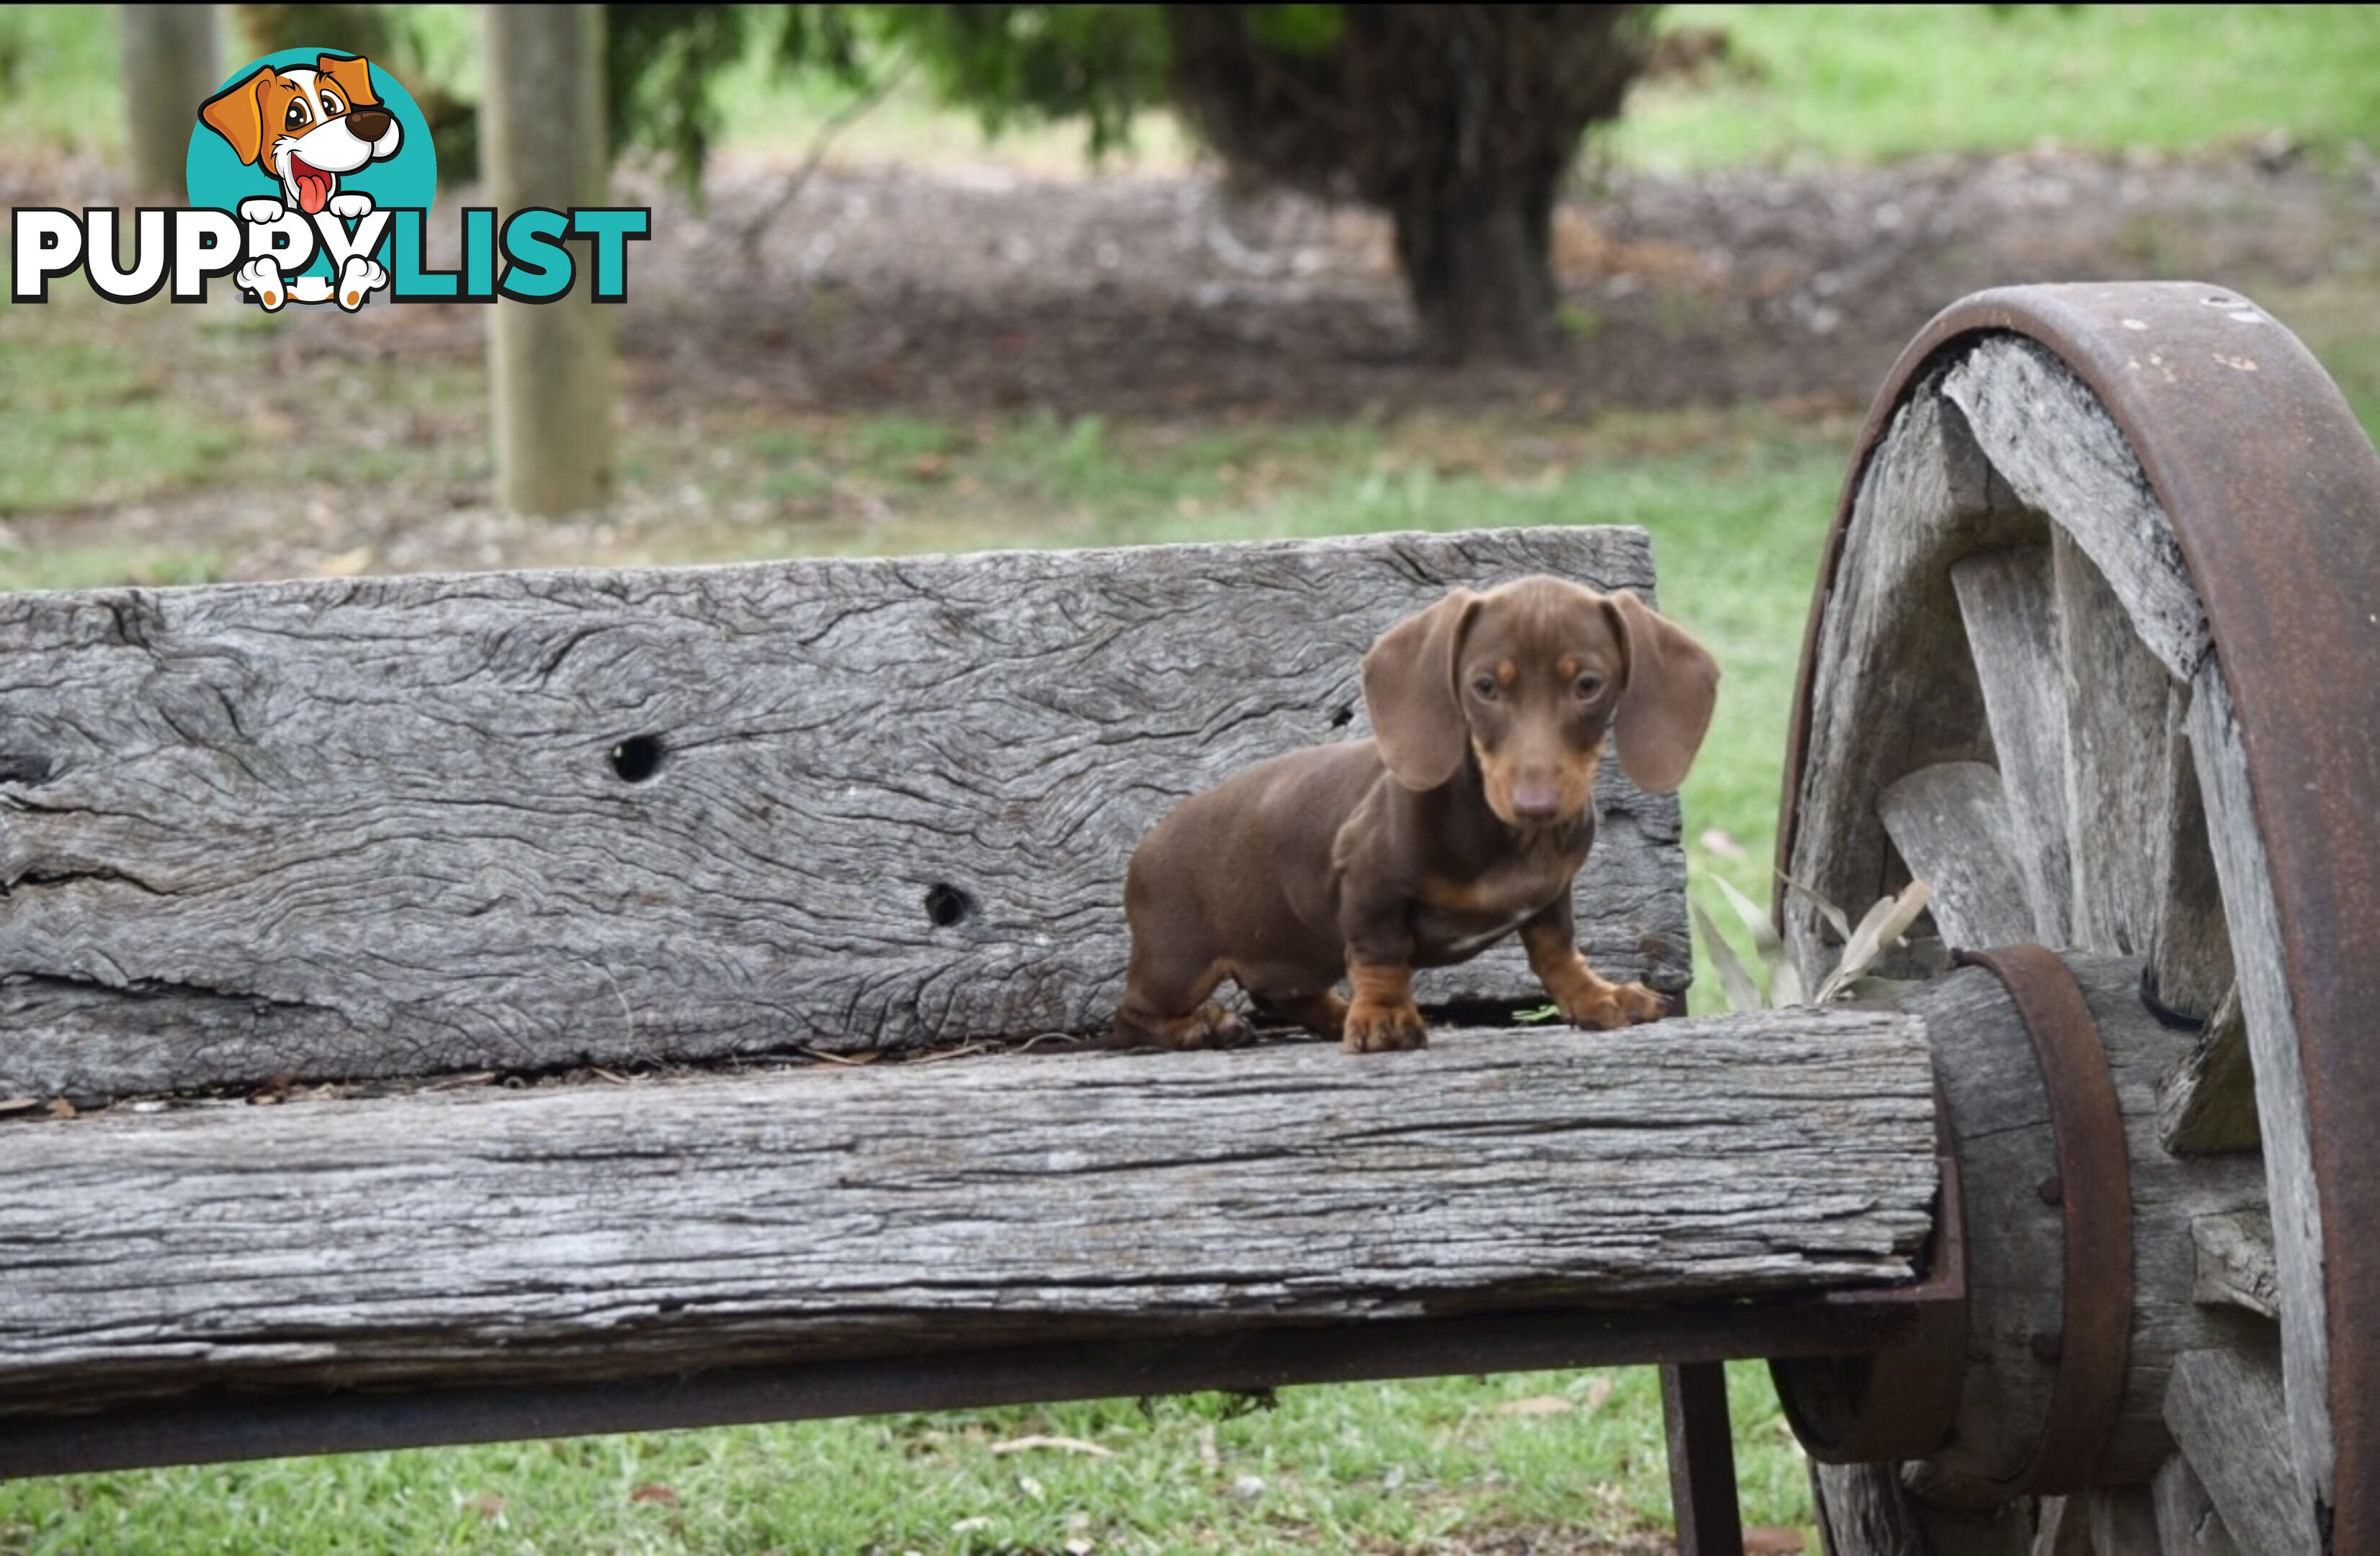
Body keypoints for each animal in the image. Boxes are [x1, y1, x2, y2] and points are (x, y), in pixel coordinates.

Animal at [1114, 578, 1713, 1056]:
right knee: (1132, 1015)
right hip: (1177, 962)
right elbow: (1381, 955)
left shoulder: (1550, 896)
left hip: (1293, 949)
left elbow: (1557, 951)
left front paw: (1598, 997)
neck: (1507, 839)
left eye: (1588, 684)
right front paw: (1384, 1018)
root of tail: (1145, 845)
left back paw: (1334, 1014)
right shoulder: (1367, 883)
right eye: (1485, 687)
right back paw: (1205, 1027)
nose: (1537, 805)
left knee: (1279, 992)